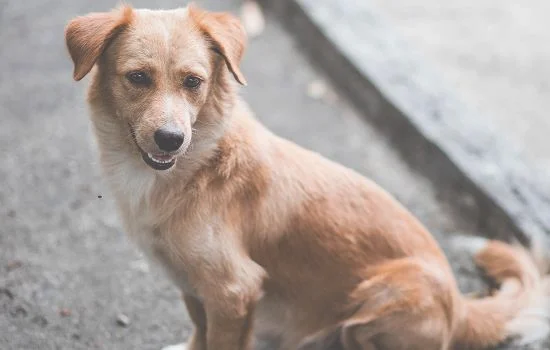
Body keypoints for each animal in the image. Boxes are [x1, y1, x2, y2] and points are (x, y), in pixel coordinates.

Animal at [66, 4, 550, 348]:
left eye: (193, 82)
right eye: (138, 77)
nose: (170, 139)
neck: (197, 165)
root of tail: (459, 304)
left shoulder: (233, 290)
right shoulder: (194, 286)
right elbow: (199, 333)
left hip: (382, 300)